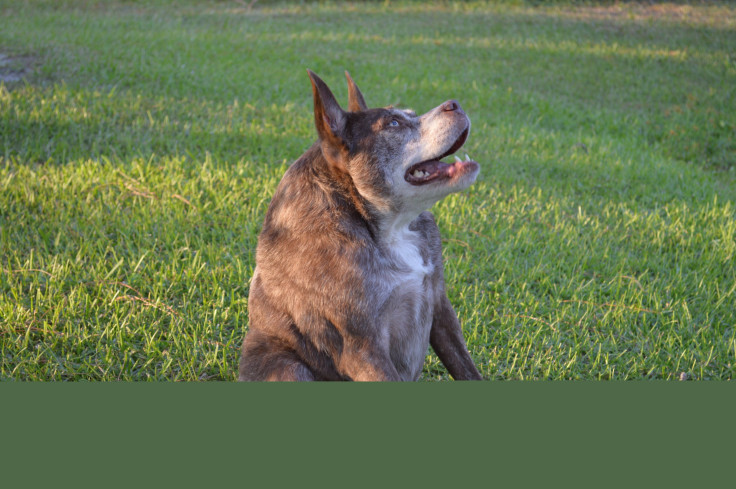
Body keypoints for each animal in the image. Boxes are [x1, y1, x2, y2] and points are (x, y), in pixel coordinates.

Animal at [239, 69, 486, 382]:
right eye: (393, 124)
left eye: (410, 114)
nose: (454, 104)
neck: (391, 227)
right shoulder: (364, 348)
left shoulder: (441, 310)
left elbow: (467, 369)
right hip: (289, 367)